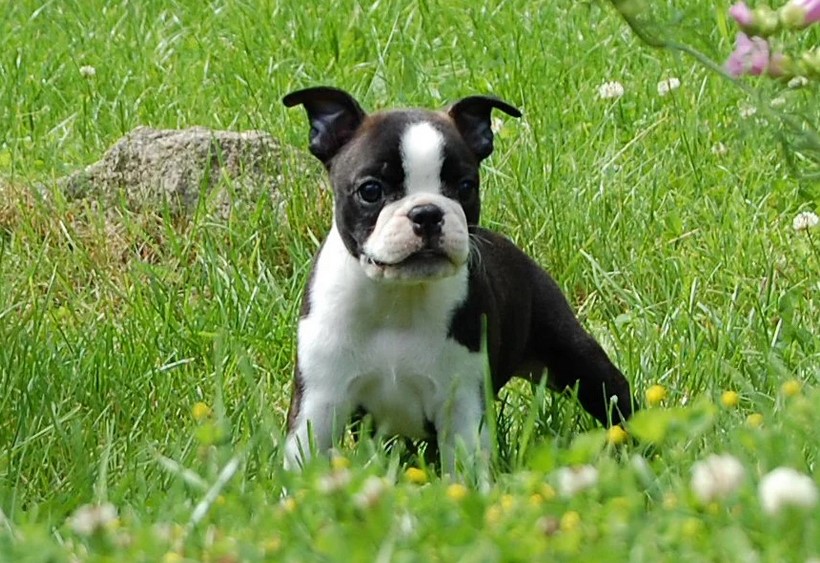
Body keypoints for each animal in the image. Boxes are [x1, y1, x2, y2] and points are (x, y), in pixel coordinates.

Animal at [282, 86, 636, 472]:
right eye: (371, 191)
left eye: (466, 186)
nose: (427, 212)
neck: (399, 297)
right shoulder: (320, 399)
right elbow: (303, 458)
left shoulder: (461, 404)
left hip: (573, 355)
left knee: (614, 394)